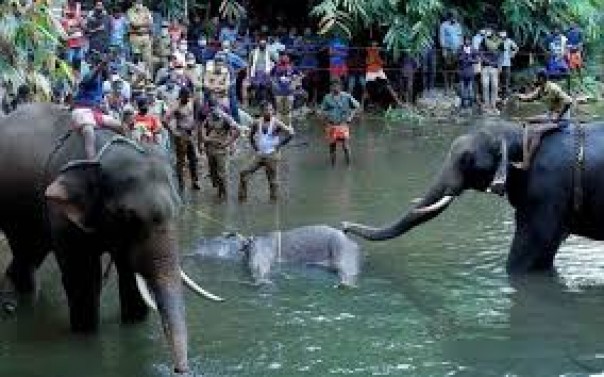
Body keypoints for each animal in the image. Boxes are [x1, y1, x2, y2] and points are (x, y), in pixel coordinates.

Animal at [0, 103, 224, 374]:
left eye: (179, 210)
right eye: (127, 217)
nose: (180, 370)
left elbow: (129, 277)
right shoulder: (60, 213)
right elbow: (84, 279)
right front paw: (86, 335)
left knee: (29, 253)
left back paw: (15, 301)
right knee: (27, 250)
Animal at [186, 225, 360, 286]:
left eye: (222, 237)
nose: (198, 242)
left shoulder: (261, 252)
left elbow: (259, 266)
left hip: (342, 251)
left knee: (347, 270)